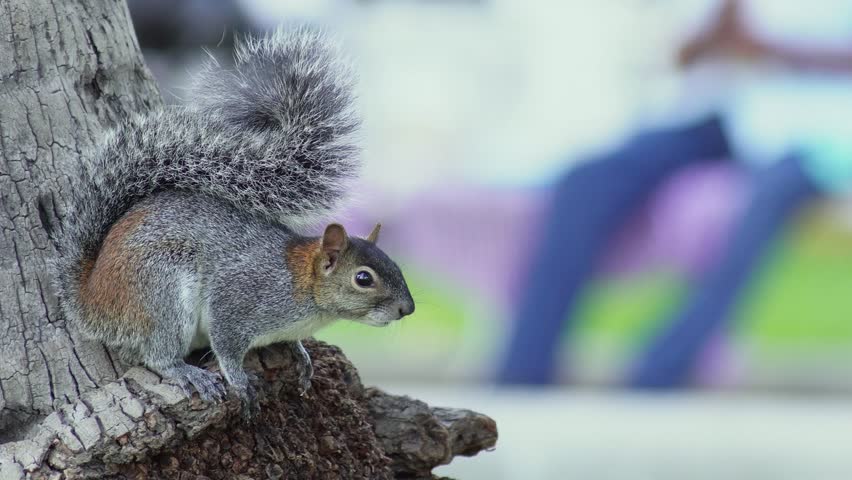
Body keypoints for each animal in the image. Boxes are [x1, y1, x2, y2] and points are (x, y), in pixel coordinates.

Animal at [53, 26, 415, 416]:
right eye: (363, 278)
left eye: (395, 265)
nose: (407, 309)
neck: (305, 288)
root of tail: (91, 299)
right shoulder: (238, 299)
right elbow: (226, 342)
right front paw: (238, 379)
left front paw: (300, 353)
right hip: (160, 291)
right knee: (157, 354)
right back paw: (186, 371)